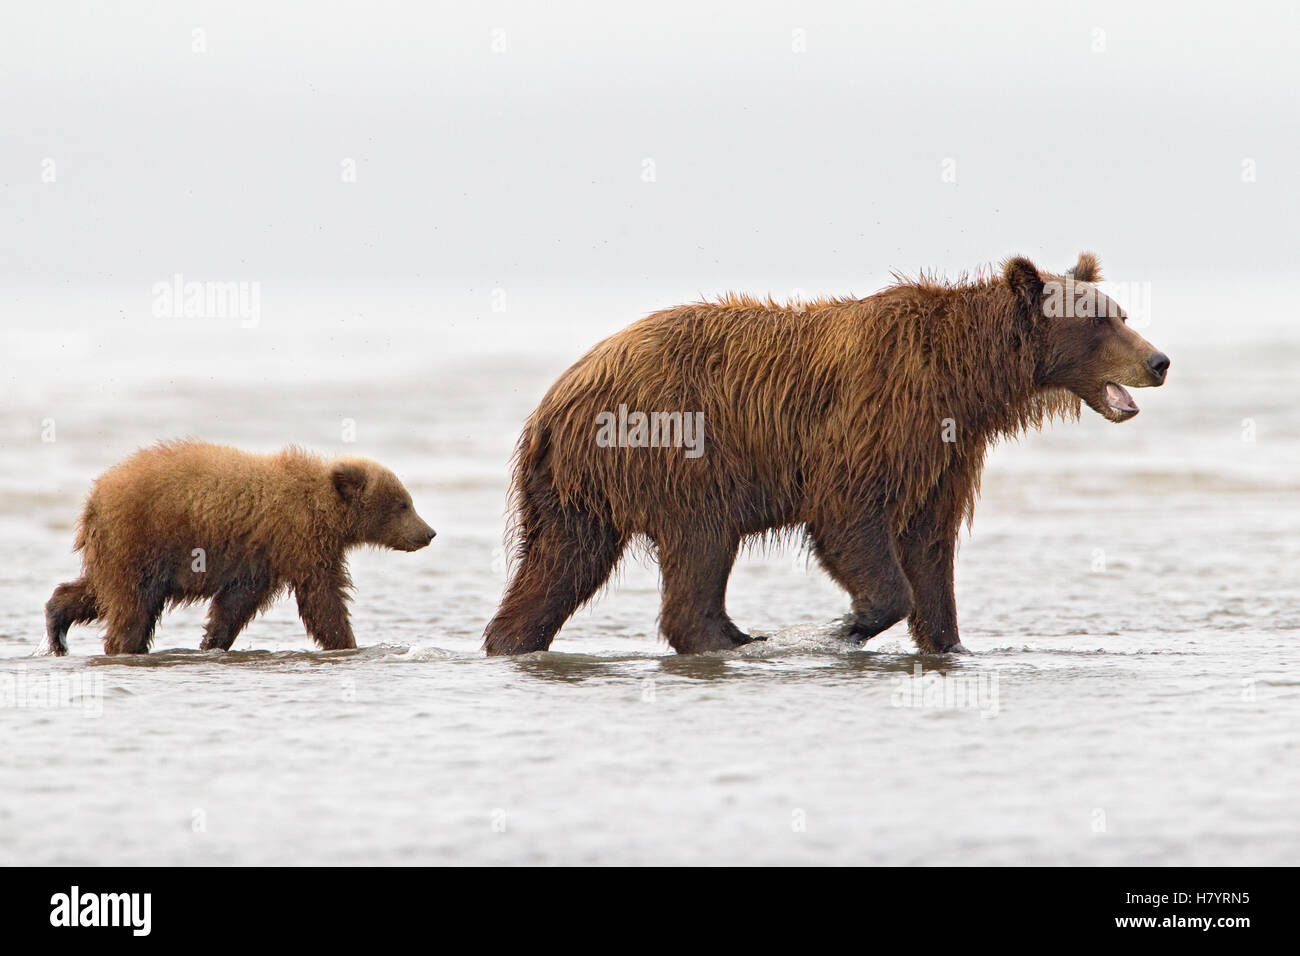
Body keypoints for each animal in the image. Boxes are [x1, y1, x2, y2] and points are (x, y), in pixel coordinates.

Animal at [45, 440, 436, 655]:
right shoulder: (299, 541)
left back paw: (58, 628)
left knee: (98, 593)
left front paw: (211, 643)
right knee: (130, 604)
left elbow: (235, 605)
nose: (429, 532)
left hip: (120, 550)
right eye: (403, 504)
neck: (323, 509)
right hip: (139, 540)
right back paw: (122, 645)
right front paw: (348, 642)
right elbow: (322, 598)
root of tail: (94, 498)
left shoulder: (261, 559)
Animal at [483, 252, 1170, 656]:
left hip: (578, 493)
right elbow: (850, 520)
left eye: (1120, 311)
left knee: (559, 566)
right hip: (676, 451)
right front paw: (848, 624)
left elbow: (931, 547)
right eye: (1101, 322)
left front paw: (949, 643)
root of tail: (557, 399)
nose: (1158, 360)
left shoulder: (945, 453)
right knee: (700, 545)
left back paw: (513, 638)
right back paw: (731, 637)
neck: (963, 379)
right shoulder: (879, 419)